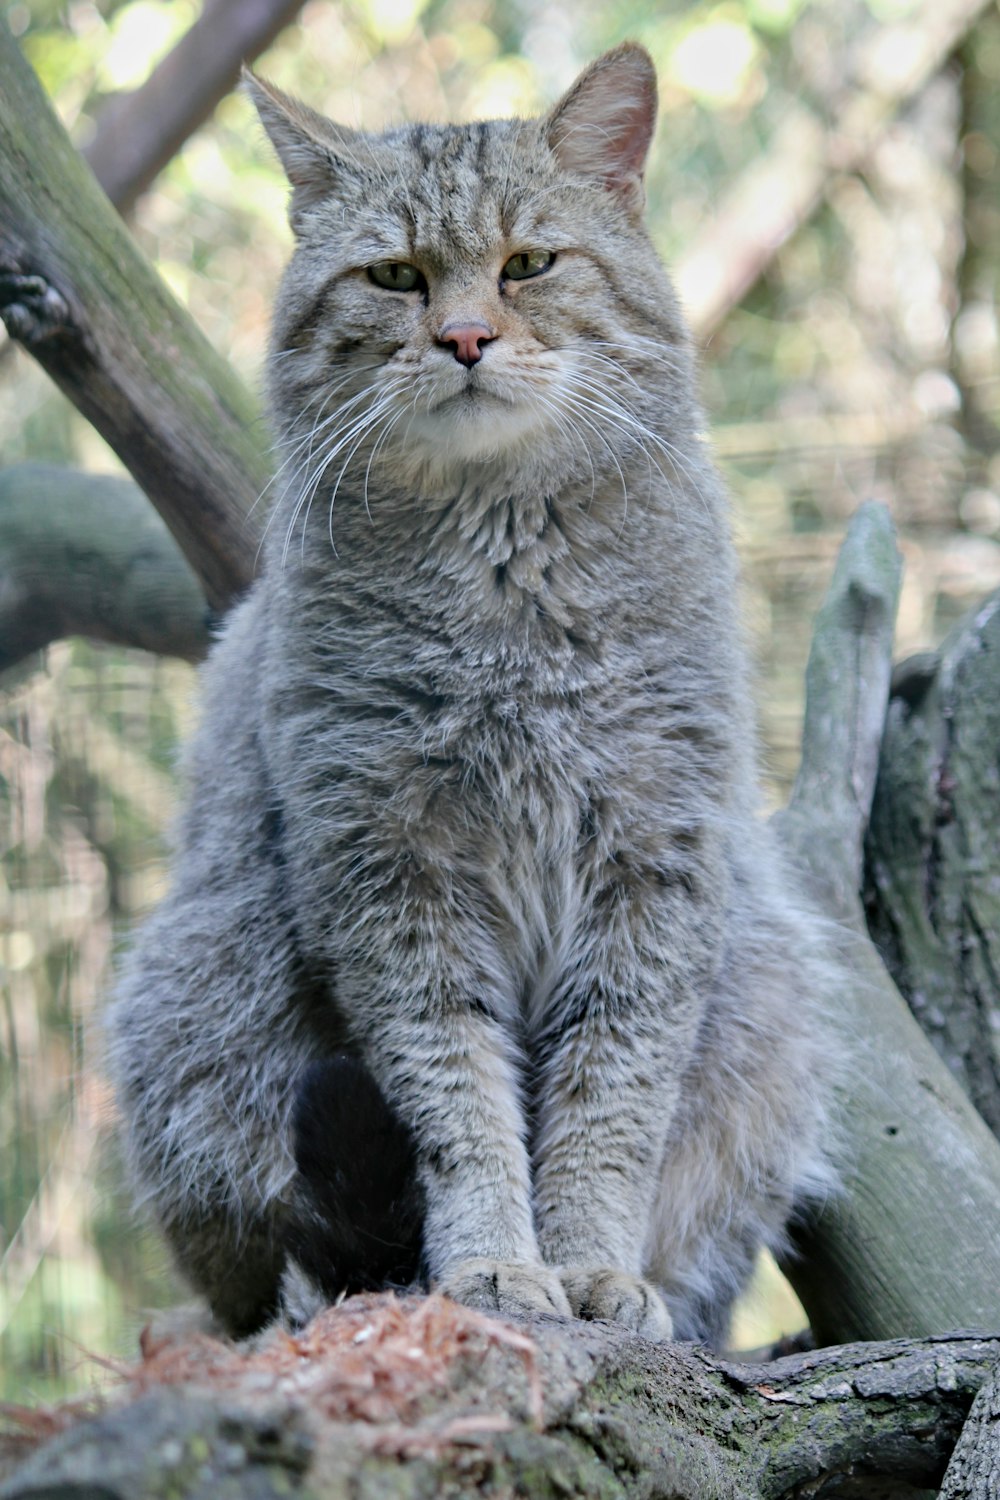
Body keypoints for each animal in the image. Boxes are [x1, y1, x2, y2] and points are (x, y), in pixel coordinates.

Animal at [109, 41, 839, 1344]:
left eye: (528, 264)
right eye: (395, 276)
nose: (461, 338)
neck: (505, 582)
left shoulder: (655, 861)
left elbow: (610, 1105)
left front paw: (593, 1267)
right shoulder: (390, 873)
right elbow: (458, 1102)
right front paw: (496, 1260)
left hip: (776, 999)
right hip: (194, 993)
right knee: (257, 1272)